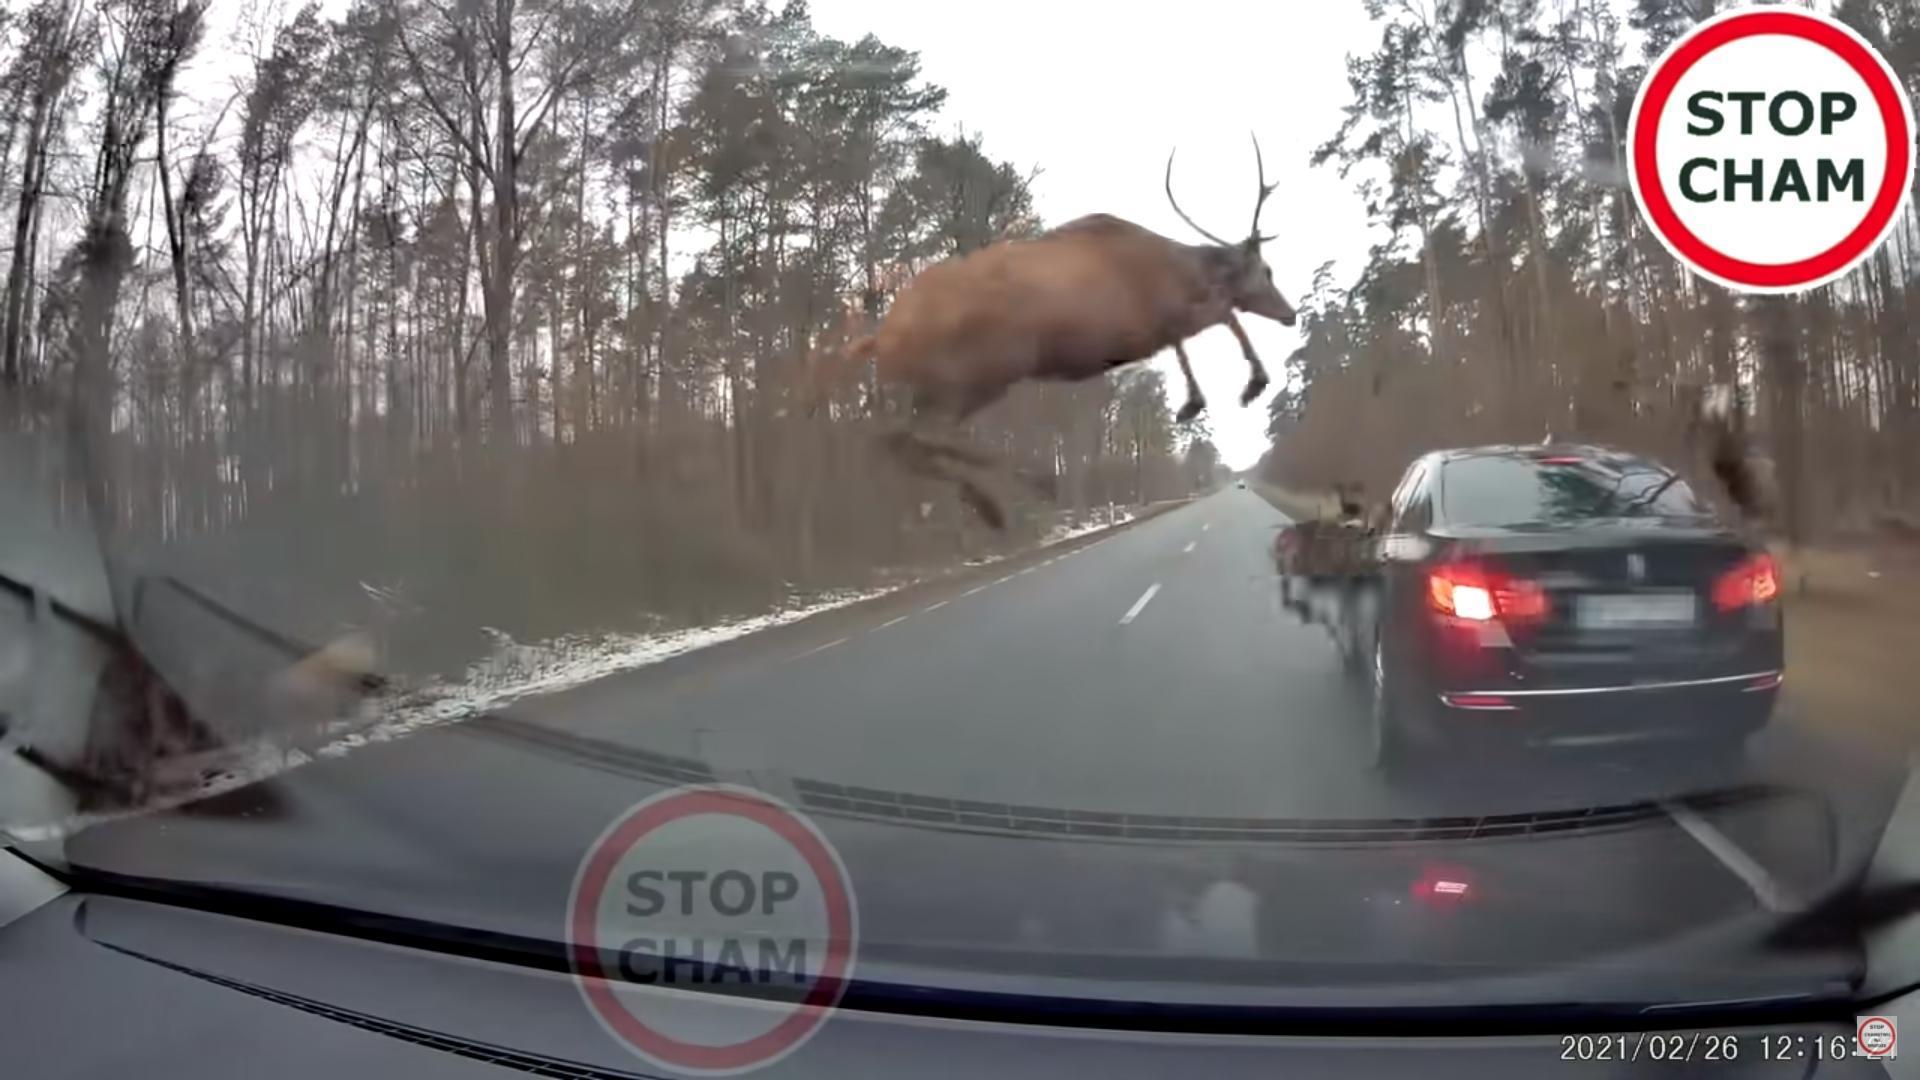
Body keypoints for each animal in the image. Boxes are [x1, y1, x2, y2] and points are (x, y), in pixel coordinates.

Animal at [815, 136, 1298, 529]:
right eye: (1268, 270)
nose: (1290, 314)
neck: (1176, 272)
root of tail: (882, 336)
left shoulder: (1150, 327)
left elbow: (1200, 329)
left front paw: (1201, 399)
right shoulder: (1145, 321)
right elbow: (1222, 316)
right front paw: (1240, 388)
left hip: (942, 384)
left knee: (898, 439)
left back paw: (993, 504)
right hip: (982, 369)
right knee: (920, 435)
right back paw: (1032, 484)